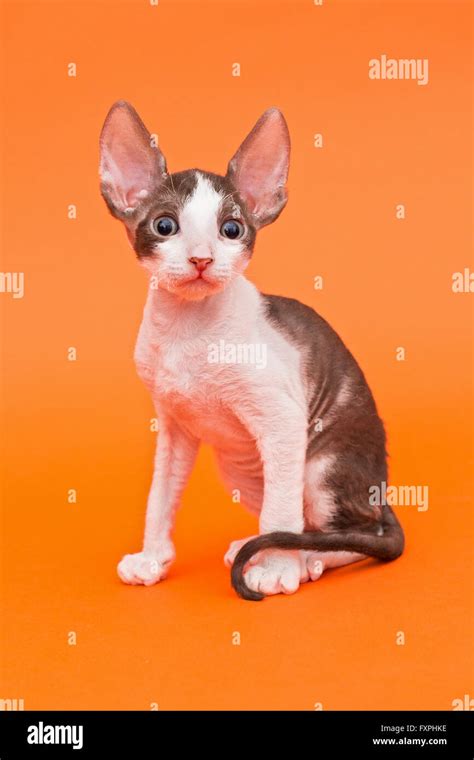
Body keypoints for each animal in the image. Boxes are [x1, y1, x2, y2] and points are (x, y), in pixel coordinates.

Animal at [99, 99, 404, 600]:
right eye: (165, 226)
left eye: (232, 229)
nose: (201, 259)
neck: (189, 331)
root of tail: (383, 489)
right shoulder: (174, 426)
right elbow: (160, 495)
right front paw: (152, 559)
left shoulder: (282, 418)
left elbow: (280, 512)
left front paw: (278, 569)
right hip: (240, 467)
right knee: (304, 520)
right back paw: (265, 547)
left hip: (321, 464)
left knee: (356, 532)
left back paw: (303, 560)